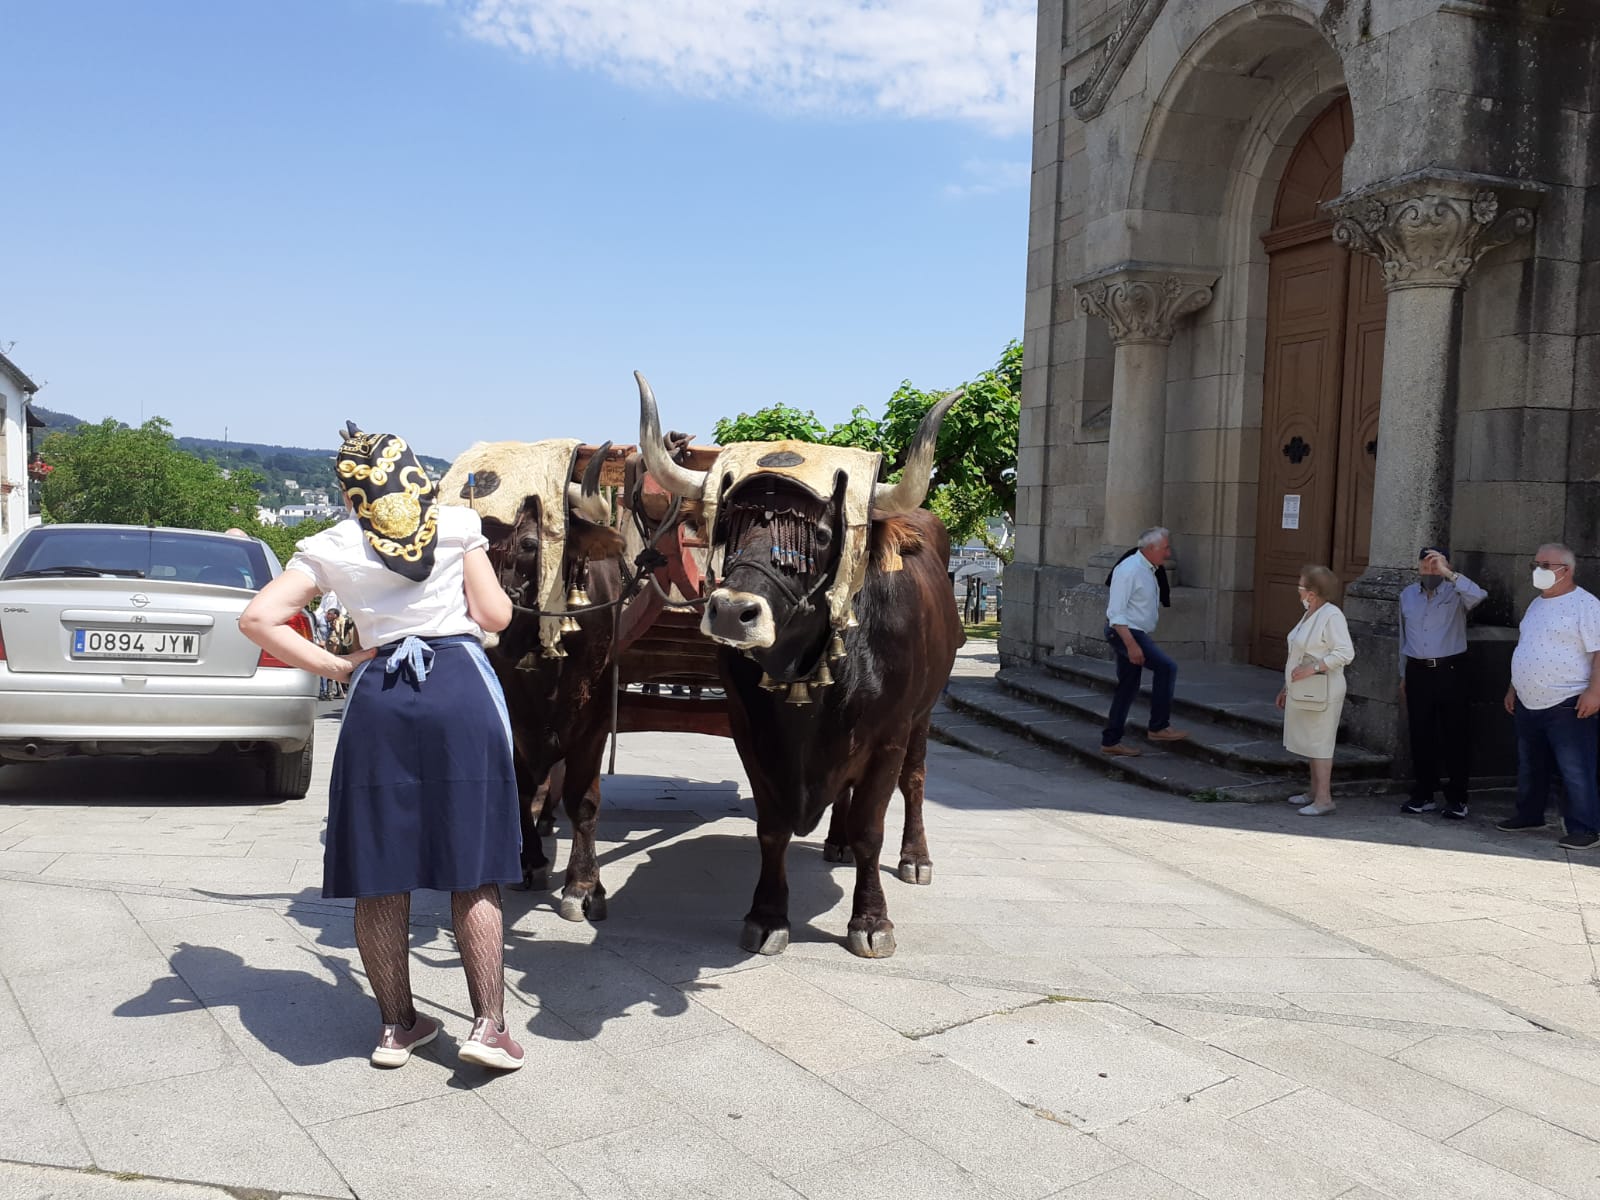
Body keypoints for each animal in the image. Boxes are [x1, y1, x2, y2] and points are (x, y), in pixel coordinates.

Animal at [441, 442, 624, 922]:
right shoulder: (511, 717)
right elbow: (520, 788)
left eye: (528, 544)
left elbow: (583, 800)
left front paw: (583, 885)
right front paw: (530, 863)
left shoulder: (595, 721)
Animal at [635, 372, 964, 959]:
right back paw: (834, 843)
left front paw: (871, 921)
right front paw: (767, 915)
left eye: (822, 534)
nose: (730, 611)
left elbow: (872, 829)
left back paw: (915, 858)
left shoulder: (888, 737)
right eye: (729, 525)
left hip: (924, 716)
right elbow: (772, 827)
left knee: (916, 782)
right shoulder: (750, 731)